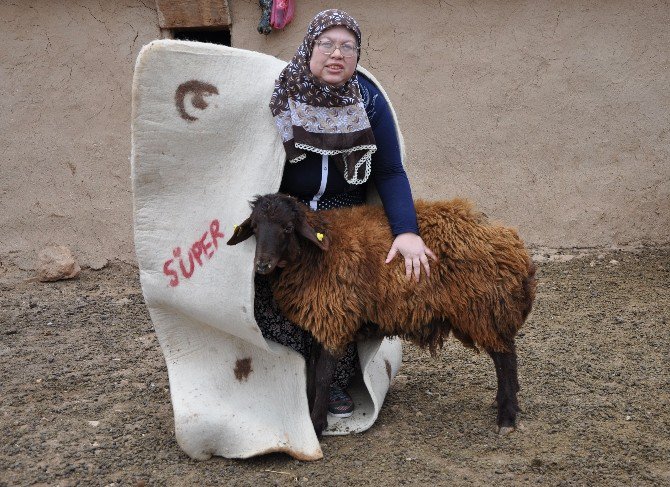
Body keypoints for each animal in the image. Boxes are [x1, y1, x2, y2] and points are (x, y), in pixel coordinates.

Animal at [228, 194, 540, 438]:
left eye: (288, 227)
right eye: (254, 227)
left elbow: (324, 375)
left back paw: (507, 416)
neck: (315, 255)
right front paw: (311, 413)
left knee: (505, 359)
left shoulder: (333, 319)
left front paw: (317, 425)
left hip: (483, 310)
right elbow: (313, 372)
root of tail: (511, 242)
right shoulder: (320, 322)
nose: (262, 265)